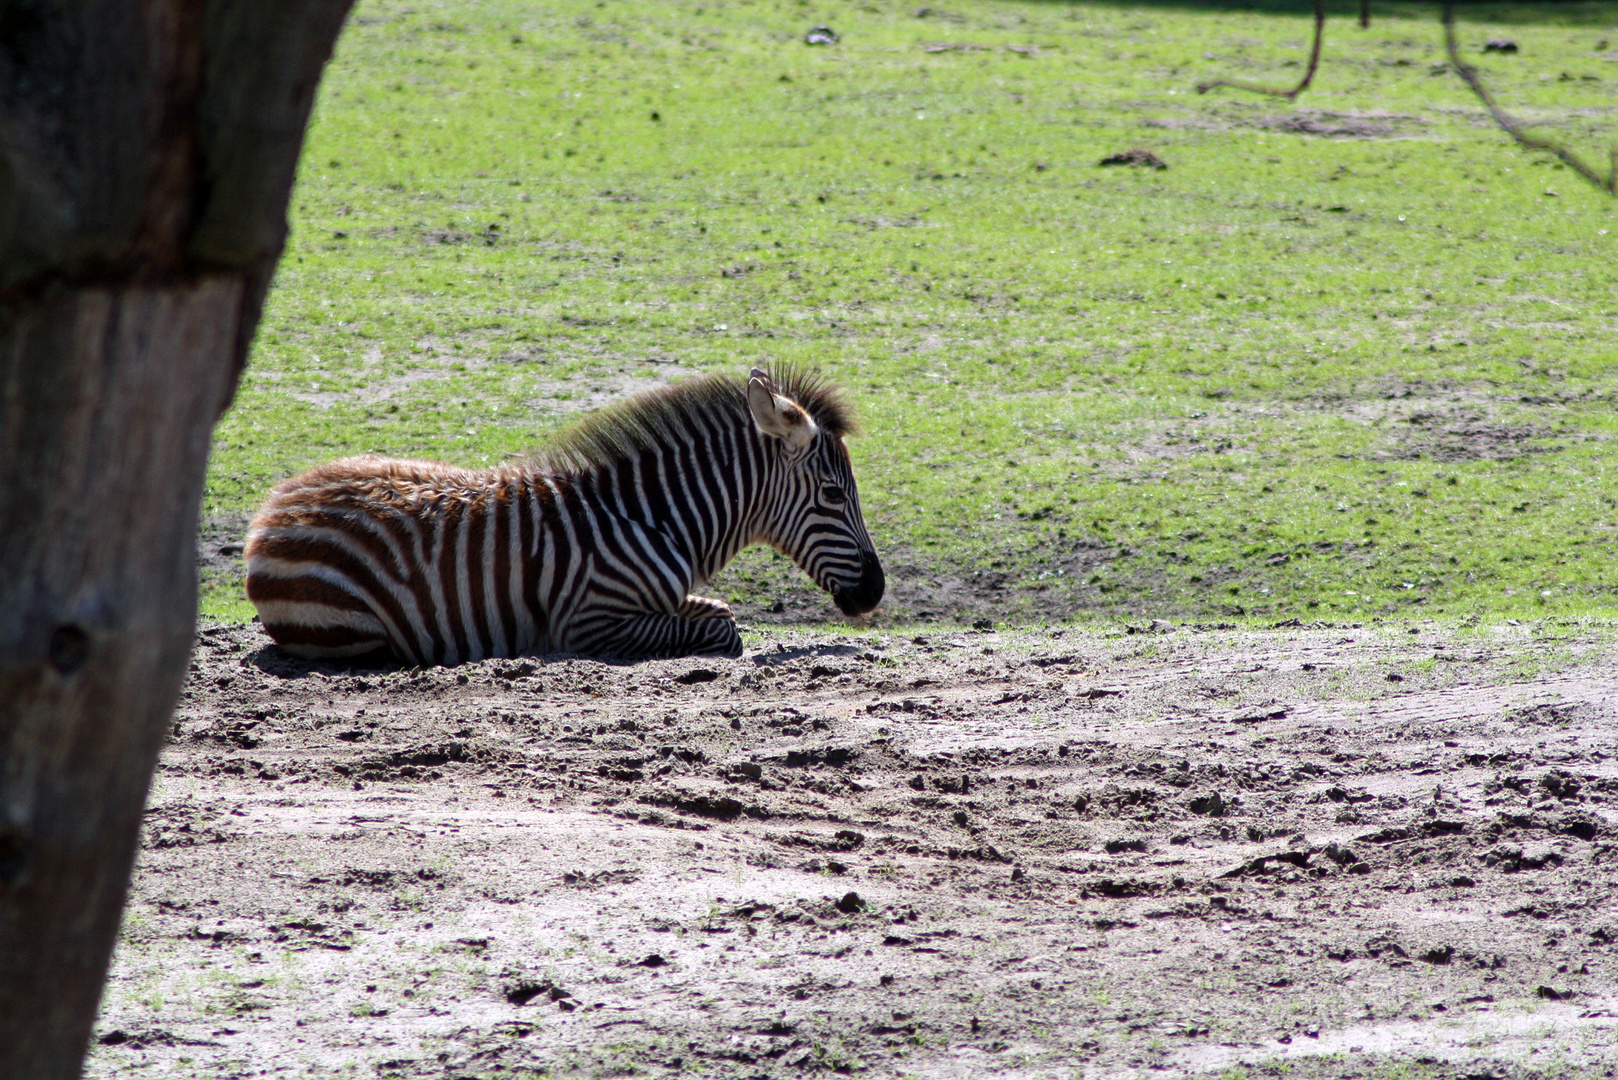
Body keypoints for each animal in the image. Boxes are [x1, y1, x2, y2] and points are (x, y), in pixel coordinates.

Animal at [242, 367, 886, 663]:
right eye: (834, 495)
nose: (876, 591)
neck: (653, 518)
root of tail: (271, 509)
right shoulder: (591, 620)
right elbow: (723, 630)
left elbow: (721, 611)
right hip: (352, 629)